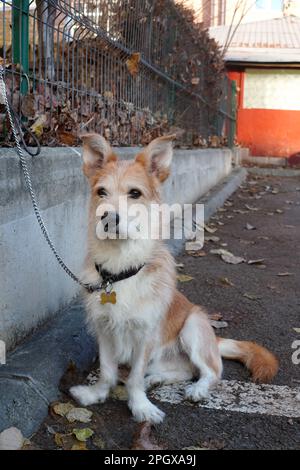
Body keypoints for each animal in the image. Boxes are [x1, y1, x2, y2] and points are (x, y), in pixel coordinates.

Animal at [70, 134, 278, 424]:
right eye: (101, 192)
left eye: (135, 193)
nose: (108, 218)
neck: (123, 268)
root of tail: (215, 340)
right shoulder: (104, 331)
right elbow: (108, 372)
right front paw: (96, 395)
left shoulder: (145, 336)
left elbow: (133, 378)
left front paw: (140, 407)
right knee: (184, 370)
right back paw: (156, 379)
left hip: (193, 326)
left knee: (210, 372)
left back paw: (197, 390)